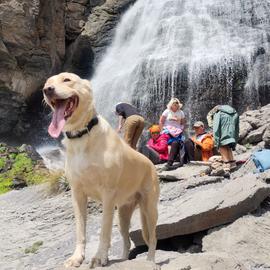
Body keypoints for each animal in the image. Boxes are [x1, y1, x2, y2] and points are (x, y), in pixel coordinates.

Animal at [43, 73, 159, 268]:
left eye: (67, 80)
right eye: (47, 83)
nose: (47, 90)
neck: (81, 135)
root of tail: (150, 162)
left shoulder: (108, 194)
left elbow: (104, 229)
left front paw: (99, 257)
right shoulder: (77, 194)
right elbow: (80, 230)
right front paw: (77, 257)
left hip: (150, 209)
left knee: (153, 238)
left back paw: (151, 262)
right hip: (123, 214)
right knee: (127, 240)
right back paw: (123, 259)